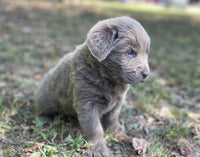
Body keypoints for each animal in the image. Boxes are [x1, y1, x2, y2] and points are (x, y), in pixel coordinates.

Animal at [34, 16, 150, 156]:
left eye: (146, 52)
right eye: (129, 52)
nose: (146, 74)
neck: (109, 80)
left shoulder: (118, 100)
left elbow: (112, 116)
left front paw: (115, 130)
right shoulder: (87, 103)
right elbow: (94, 128)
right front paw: (98, 149)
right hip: (45, 100)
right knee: (41, 109)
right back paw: (43, 119)